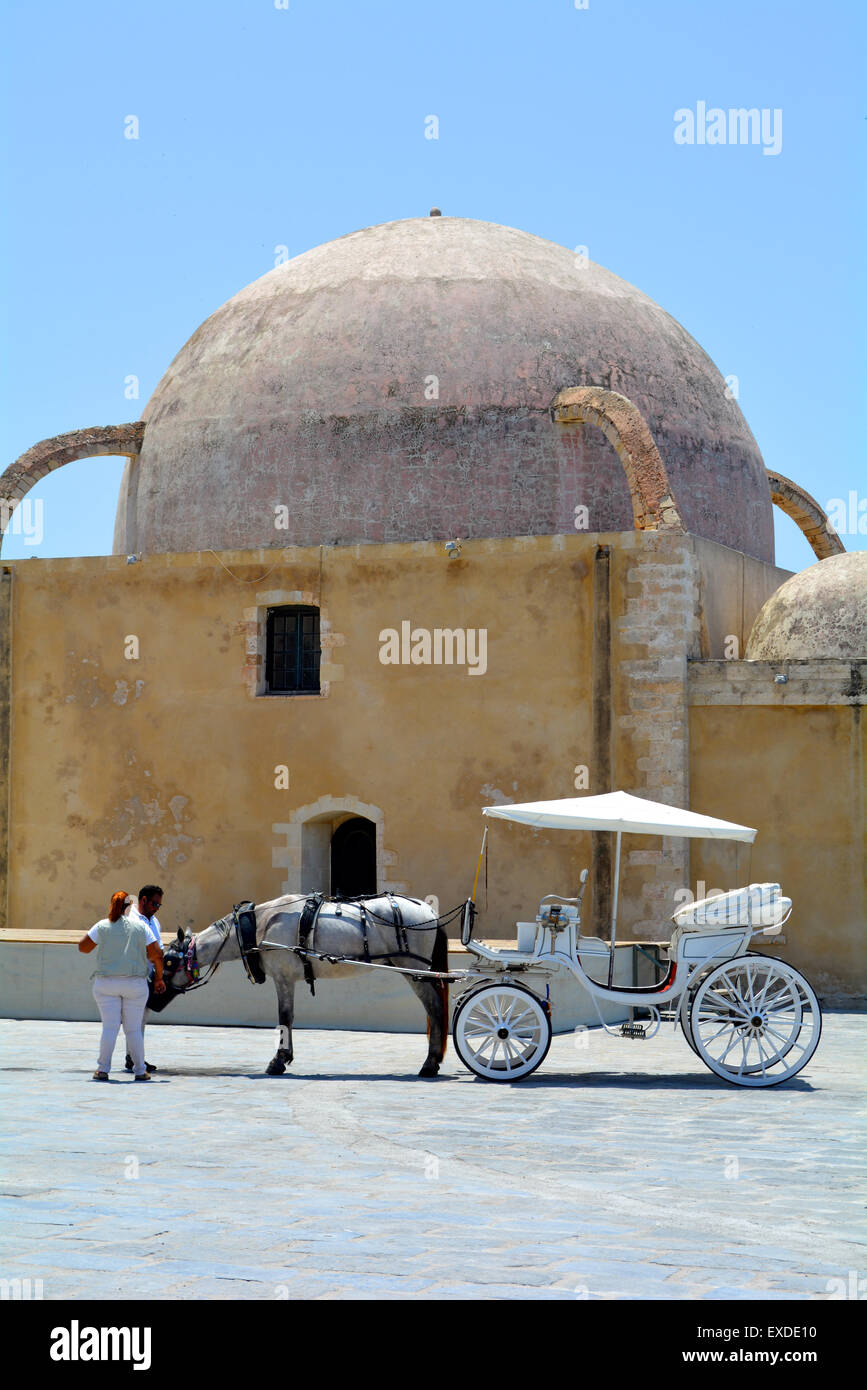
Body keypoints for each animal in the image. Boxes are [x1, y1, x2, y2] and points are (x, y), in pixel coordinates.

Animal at [162, 895, 450, 1078]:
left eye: (168, 962)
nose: (156, 996)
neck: (260, 925)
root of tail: (429, 911)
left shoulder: (283, 977)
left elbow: (284, 1017)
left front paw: (278, 1060)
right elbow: (287, 1018)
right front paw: (284, 1057)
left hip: (415, 970)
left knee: (435, 1009)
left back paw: (430, 1063)